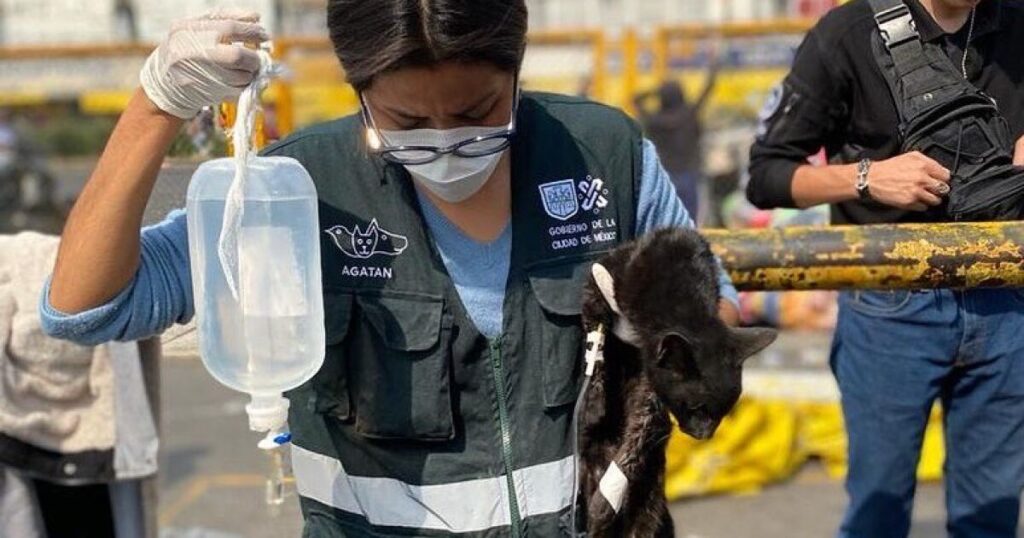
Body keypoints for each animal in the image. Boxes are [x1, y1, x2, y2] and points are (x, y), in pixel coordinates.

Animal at [577, 227, 774, 536]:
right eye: (695, 407)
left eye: (724, 412)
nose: (705, 436)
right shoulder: (597, 281)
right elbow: (596, 335)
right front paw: (595, 402)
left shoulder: (650, 385)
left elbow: (639, 436)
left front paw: (607, 500)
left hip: (649, 506)